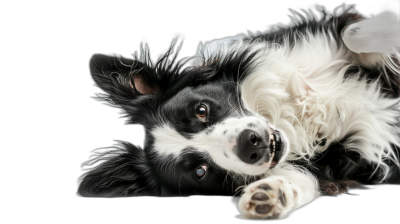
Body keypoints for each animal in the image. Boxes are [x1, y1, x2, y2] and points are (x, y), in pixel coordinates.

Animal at [76, 4, 398, 220]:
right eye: (201, 171)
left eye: (201, 109)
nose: (250, 145)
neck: (294, 119)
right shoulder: (341, 165)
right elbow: (303, 178)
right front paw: (270, 195)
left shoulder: (323, 37)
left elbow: (354, 34)